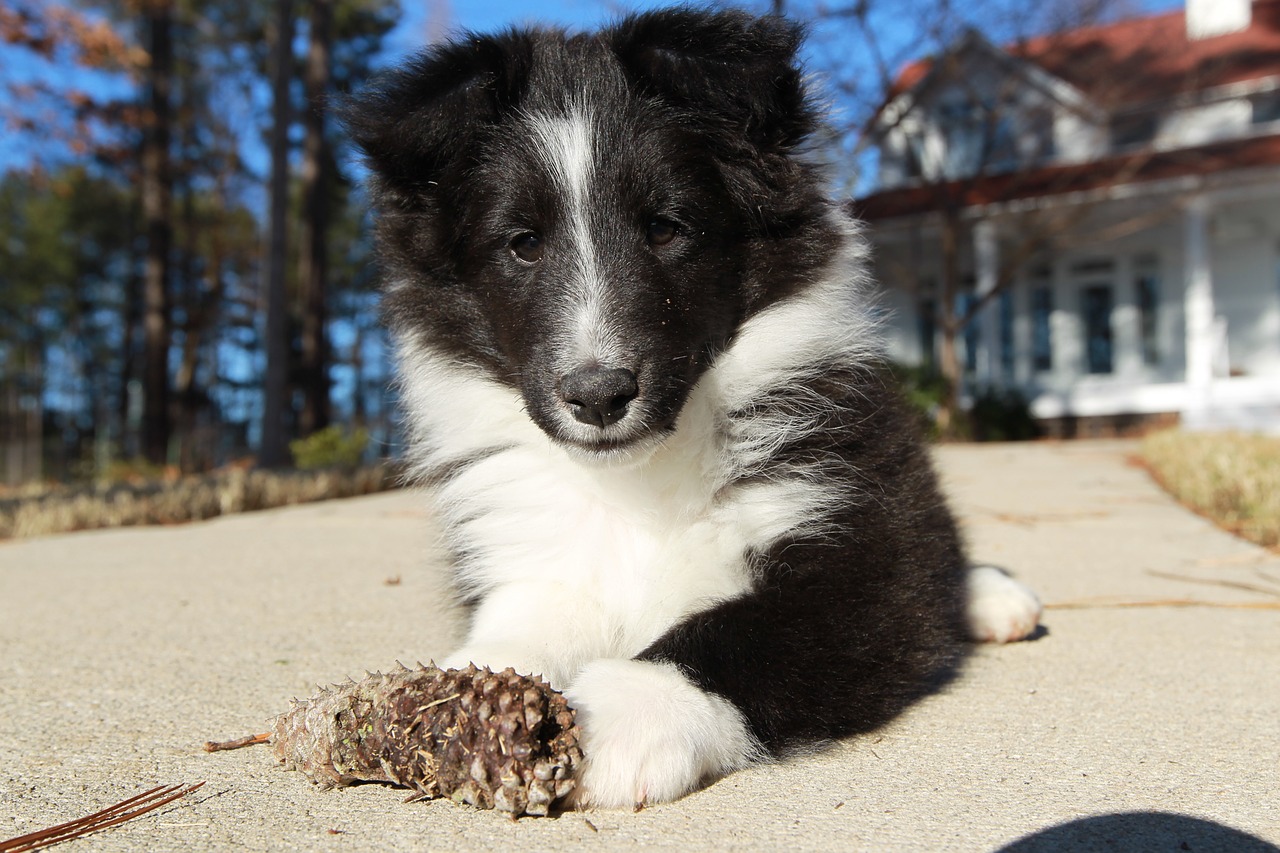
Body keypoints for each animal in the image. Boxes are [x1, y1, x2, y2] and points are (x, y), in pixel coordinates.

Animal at [348, 4, 1039, 804]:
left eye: (666, 227)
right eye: (521, 243)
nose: (598, 395)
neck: (636, 483)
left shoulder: (859, 546)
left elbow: (748, 633)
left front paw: (618, 714)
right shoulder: (542, 558)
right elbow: (524, 619)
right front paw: (459, 694)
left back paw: (994, 597)